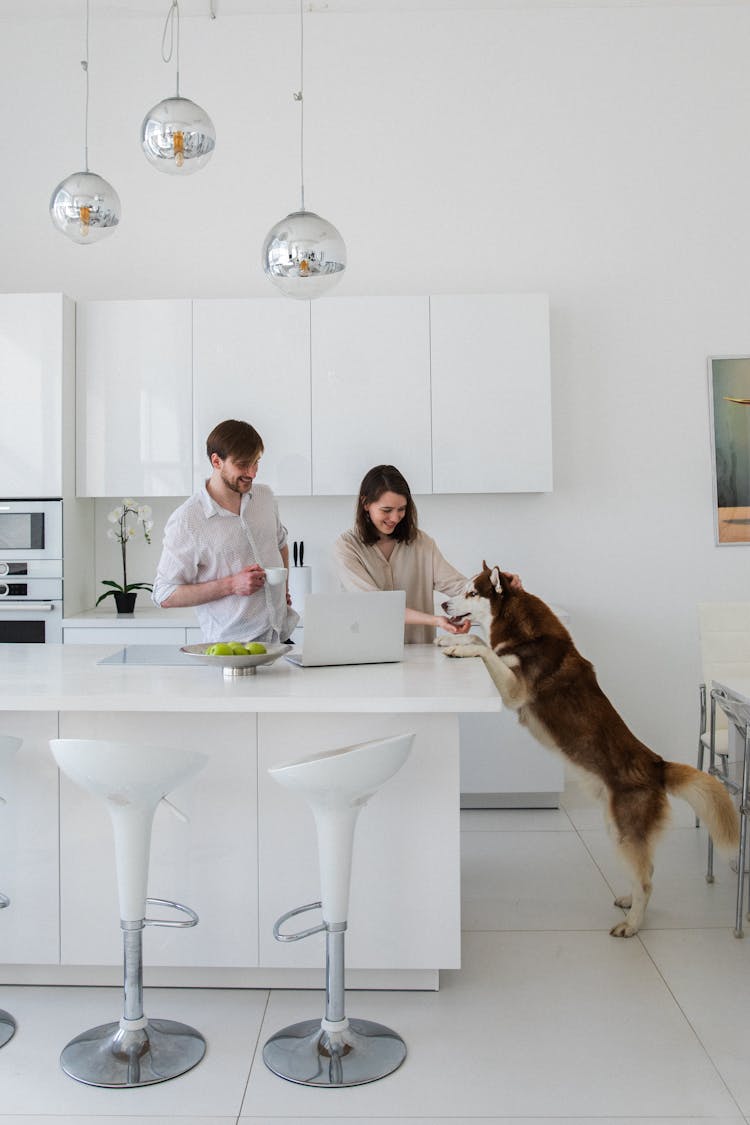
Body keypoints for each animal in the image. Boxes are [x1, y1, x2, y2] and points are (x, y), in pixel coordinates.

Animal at [440, 562, 737, 940]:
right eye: (461, 588)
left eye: (471, 592)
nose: (443, 605)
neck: (522, 630)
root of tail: (657, 765)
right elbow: (477, 639)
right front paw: (450, 639)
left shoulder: (514, 691)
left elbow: (484, 646)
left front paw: (462, 647)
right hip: (615, 827)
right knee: (647, 872)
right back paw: (628, 900)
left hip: (623, 831)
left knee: (647, 882)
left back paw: (632, 925)